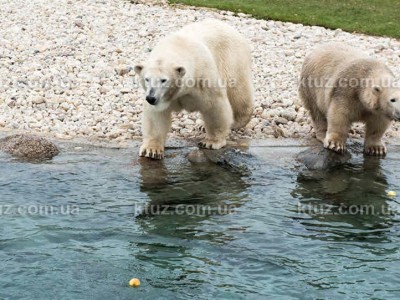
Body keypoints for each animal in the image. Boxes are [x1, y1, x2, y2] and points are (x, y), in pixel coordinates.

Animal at [134, 18, 253, 159]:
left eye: (163, 80)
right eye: (147, 79)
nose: (151, 98)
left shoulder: (203, 78)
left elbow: (215, 105)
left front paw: (211, 142)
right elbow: (156, 116)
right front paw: (152, 150)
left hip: (231, 58)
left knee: (237, 90)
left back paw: (236, 121)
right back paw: (202, 125)